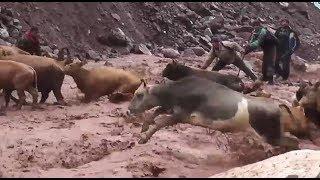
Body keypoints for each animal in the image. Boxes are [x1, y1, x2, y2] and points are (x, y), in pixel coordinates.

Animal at [127, 76, 298, 149]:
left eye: (139, 94)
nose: (129, 110)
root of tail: (276, 105)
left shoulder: (181, 115)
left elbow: (160, 123)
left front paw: (143, 139)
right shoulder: (171, 108)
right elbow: (155, 112)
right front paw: (143, 128)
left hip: (270, 135)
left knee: (293, 142)